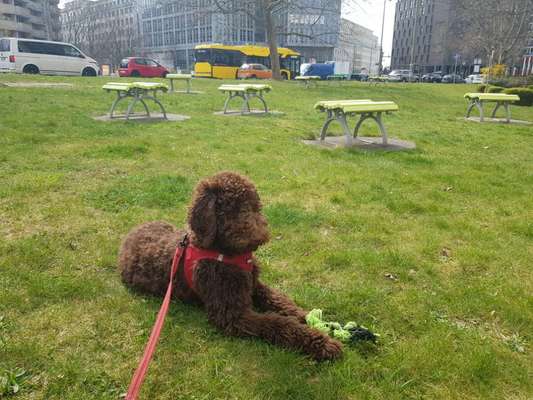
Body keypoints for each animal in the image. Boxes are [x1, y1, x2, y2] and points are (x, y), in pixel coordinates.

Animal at [117, 170, 340, 360]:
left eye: (254, 206)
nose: (259, 237)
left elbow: (281, 301)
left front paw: (308, 317)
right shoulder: (233, 314)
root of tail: (129, 235)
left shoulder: (255, 286)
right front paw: (321, 342)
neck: (227, 254)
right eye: (233, 208)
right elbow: (276, 322)